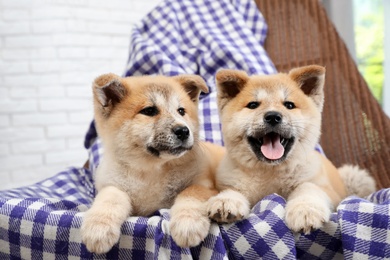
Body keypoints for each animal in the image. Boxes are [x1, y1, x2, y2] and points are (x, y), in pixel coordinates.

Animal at [80, 73, 224, 254]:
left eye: (181, 111)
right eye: (149, 111)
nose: (183, 131)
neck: (152, 171)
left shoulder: (204, 184)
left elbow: (191, 193)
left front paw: (188, 224)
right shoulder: (112, 184)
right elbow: (109, 199)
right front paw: (98, 228)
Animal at [209, 64, 376, 234]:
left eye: (289, 105)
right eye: (253, 105)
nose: (273, 116)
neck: (269, 172)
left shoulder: (327, 190)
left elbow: (308, 187)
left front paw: (305, 210)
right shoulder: (230, 181)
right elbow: (233, 190)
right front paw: (226, 200)